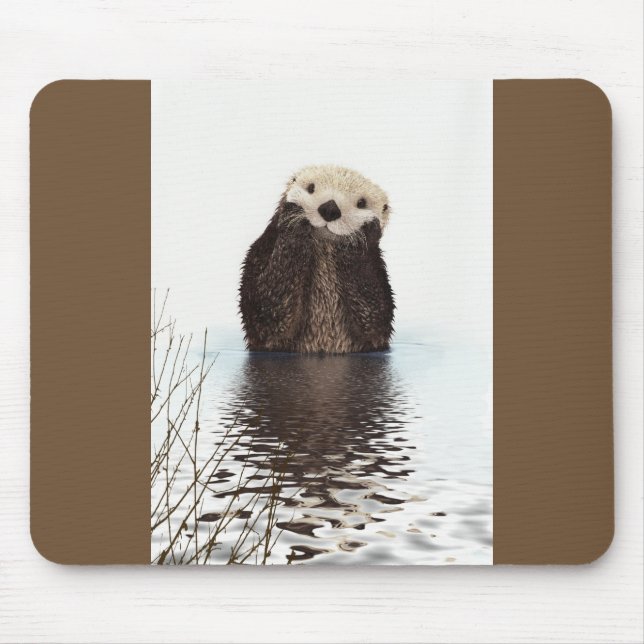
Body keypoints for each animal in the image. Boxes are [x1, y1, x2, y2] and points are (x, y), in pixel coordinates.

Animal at [239, 165, 395, 353]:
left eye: (362, 203)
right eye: (311, 188)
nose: (330, 209)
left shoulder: (378, 273)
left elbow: (374, 315)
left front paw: (361, 235)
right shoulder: (260, 252)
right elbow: (266, 309)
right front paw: (294, 217)